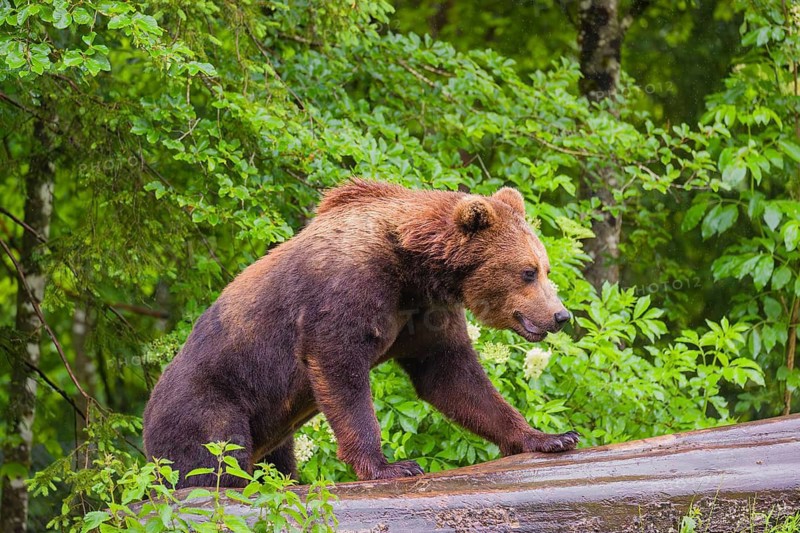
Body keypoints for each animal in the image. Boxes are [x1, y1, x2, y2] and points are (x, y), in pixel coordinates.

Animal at [142, 179, 577, 487]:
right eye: (528, 272)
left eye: (545, 268)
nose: (560, 315)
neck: (414, 266)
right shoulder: (347, 291)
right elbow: (341, 370)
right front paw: (390, 466)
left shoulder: (423, 315)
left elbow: (454, 378)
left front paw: (551, 437)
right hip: (211, 402)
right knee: (214, 462)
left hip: (270, 433)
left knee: (277, 462)